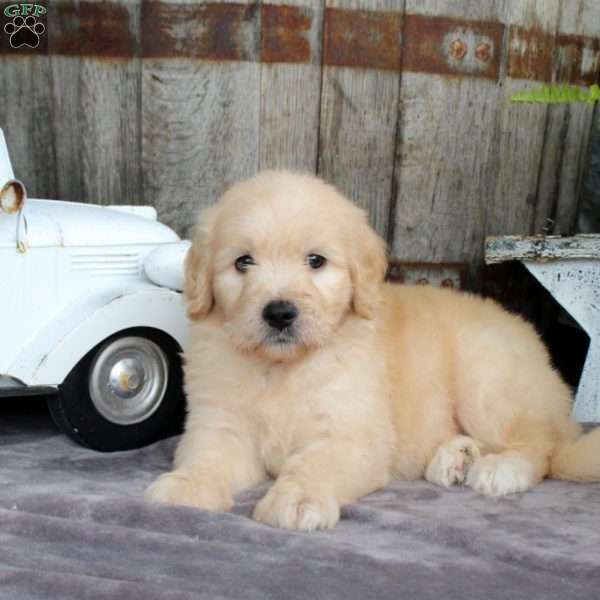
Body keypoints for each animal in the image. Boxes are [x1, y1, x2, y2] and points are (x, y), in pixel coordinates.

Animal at [146, 171, 600, 532]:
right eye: (243, 262)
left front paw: (297, 500)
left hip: (487, 381)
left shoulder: (351, 432)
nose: (279, 313)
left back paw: (500, 468)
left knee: (542, 443)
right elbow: (207, 456)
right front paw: (185, 487)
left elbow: (314, 465)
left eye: (316, 261)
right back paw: (455, 458)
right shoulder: (221, 424)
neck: (283, 367)